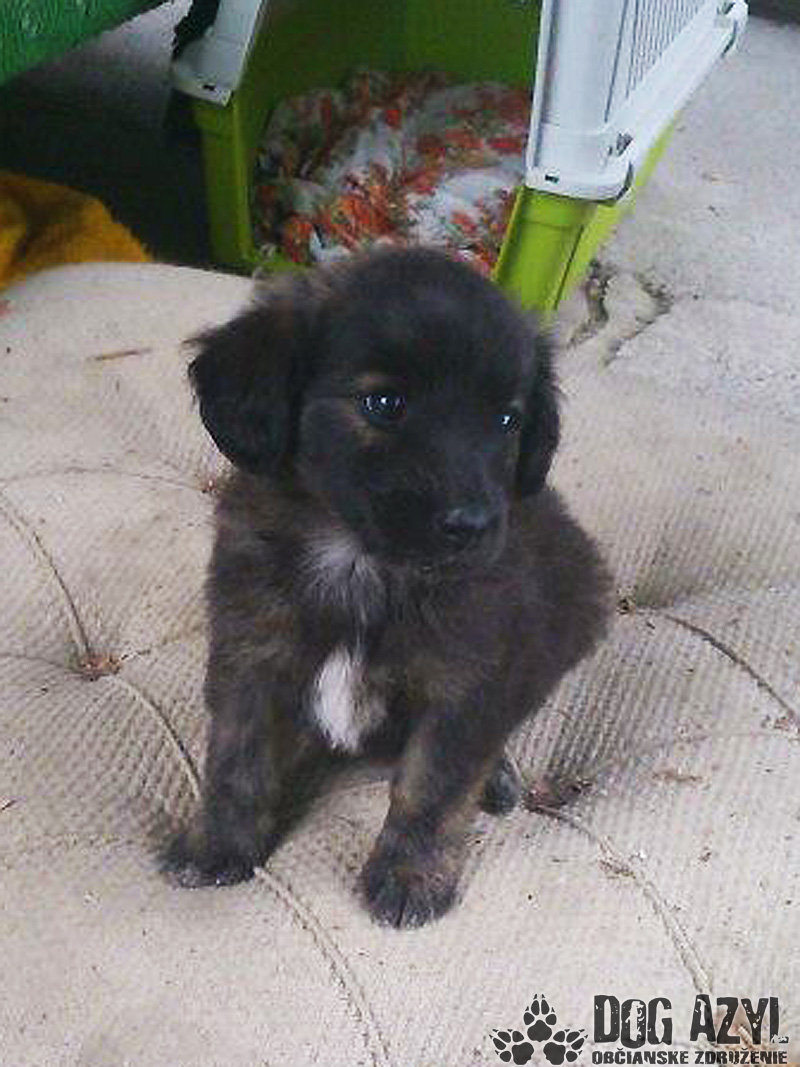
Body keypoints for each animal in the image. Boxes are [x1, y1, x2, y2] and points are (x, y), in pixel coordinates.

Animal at [162, 246, 611, 927]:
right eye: (384, 404)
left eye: (508, 419)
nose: (473, 525)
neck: (362, 565)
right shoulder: (251, 657)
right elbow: (236, 764)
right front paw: (216, 845)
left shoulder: (466, 687)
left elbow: (432, 788)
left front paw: (410, 876)